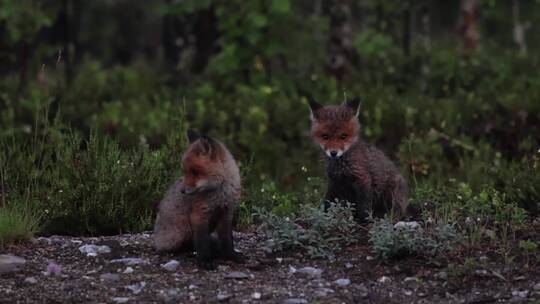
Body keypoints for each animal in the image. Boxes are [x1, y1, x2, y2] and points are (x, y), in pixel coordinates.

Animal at [154, 129, 243, 270]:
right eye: (185, 171)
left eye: (195, 172)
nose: (182, 191)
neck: (220, 193)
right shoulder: (199, 214)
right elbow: (201, 242)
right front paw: (205, 261)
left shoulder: (227, 213)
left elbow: (227, 240)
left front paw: (231, 256)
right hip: (179, 235)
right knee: (178, 245)